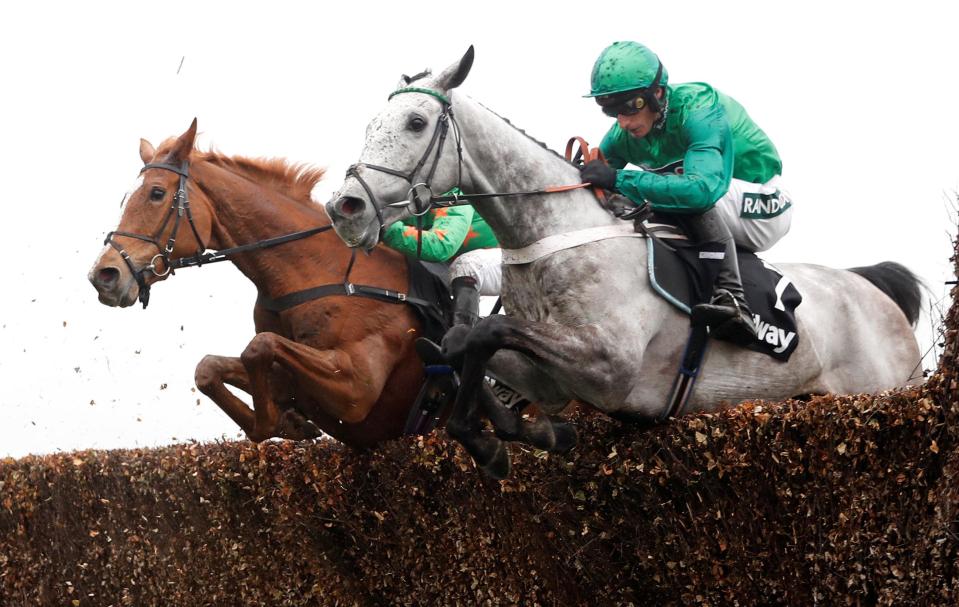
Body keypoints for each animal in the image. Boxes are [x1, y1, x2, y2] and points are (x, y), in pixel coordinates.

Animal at [88, 121, 436, 448]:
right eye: (125, 198)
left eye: (157, 193)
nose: (103, 275)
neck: (320, 271)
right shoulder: (292, 380)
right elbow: (209, 368)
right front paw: (288, 422)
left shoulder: (356, 389)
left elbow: (259, 346)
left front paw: (276, 421)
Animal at [328, 46, 924, 480]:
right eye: (371, 123)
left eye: (415, 122)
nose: (345, 207)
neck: (555, 234)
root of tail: (876, 293)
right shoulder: (552, 380)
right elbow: (464, 343)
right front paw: (519, 434)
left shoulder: (607, 367)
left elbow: (481, 333)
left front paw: (494, 438)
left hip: (875, 385)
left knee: (703, 193)